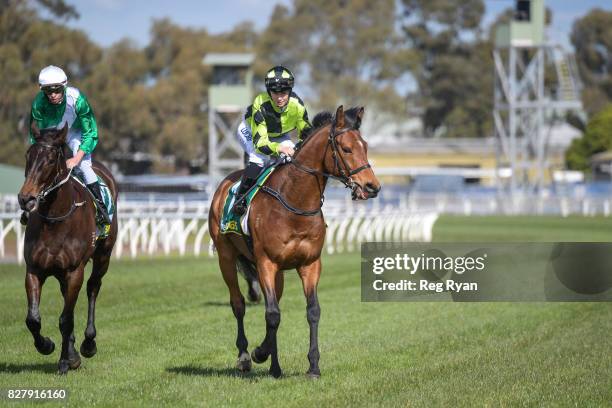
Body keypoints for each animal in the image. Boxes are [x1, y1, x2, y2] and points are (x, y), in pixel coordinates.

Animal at [16, 125, 118, 376]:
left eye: (51, 160)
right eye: (28, 155)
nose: (26, 198)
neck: (55, 221)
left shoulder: (74, 271)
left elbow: (65, 319)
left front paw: (64, 361)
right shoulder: (34, 270)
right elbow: (33, 319)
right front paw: (47, 345)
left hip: (103, 256)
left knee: (93, 288)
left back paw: (88, 343)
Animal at [212, 106, 382, 380]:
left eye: (364, 146)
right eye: (346, 149)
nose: (372, 186)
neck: (294, 201)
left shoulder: (309, 264)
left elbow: (310, 311)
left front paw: (312, 366)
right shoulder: (266, 262)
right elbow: (272, 314)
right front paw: (261, 355)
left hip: (278, 273)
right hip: (226, 258)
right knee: (238, 304)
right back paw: (245, 356)